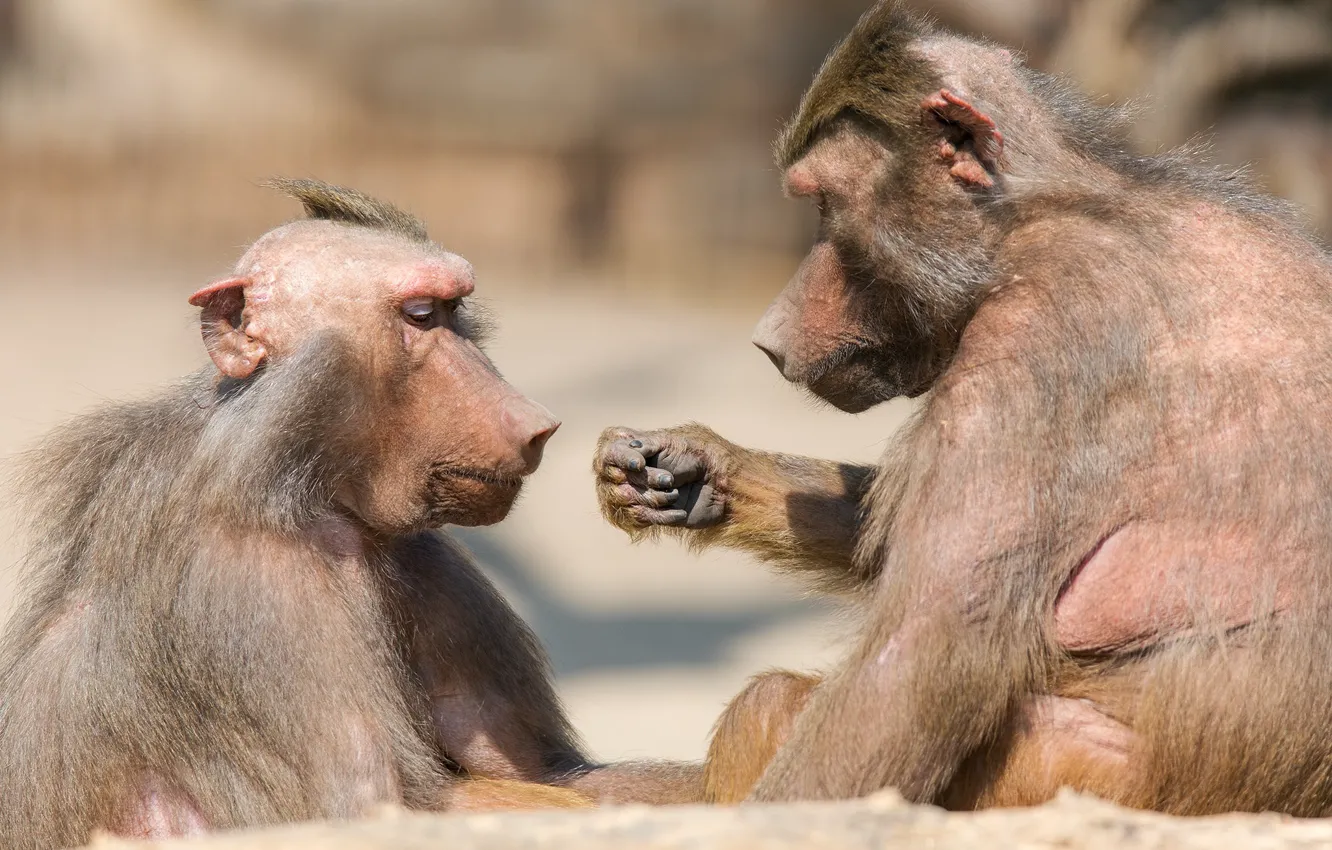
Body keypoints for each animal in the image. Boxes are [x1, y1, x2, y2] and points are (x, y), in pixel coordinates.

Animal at [0, 179, 701, 850]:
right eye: (420, 316)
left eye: (455, 311)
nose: (538, 424)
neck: (300, 484)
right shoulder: (259, 584)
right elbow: (373, 811)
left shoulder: (427, 560)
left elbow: (552, 775)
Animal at [594, 1, 1332, 816]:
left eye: (823, 205)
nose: (769, 337)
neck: (1040, 212)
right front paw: (689, 472)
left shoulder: (1036, 342)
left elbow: (919, 660)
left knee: (773, 706)